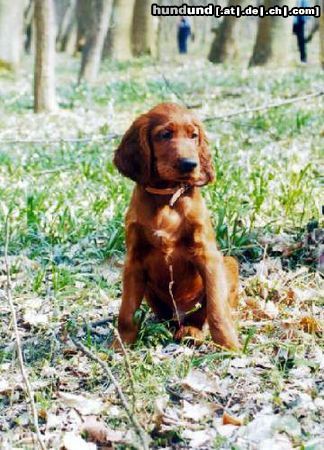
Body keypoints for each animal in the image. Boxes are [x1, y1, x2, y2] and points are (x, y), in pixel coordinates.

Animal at [114, 103, 240, 350]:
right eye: (165, 134)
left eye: (194, 135)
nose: (190, 164)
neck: (167, 196)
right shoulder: (133, 260)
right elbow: (126, 311)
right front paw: (120, 344)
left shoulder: (208, 254)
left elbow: (217, 307)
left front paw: (229, 345)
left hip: (229, 263)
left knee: (203, 314)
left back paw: (193, 331)